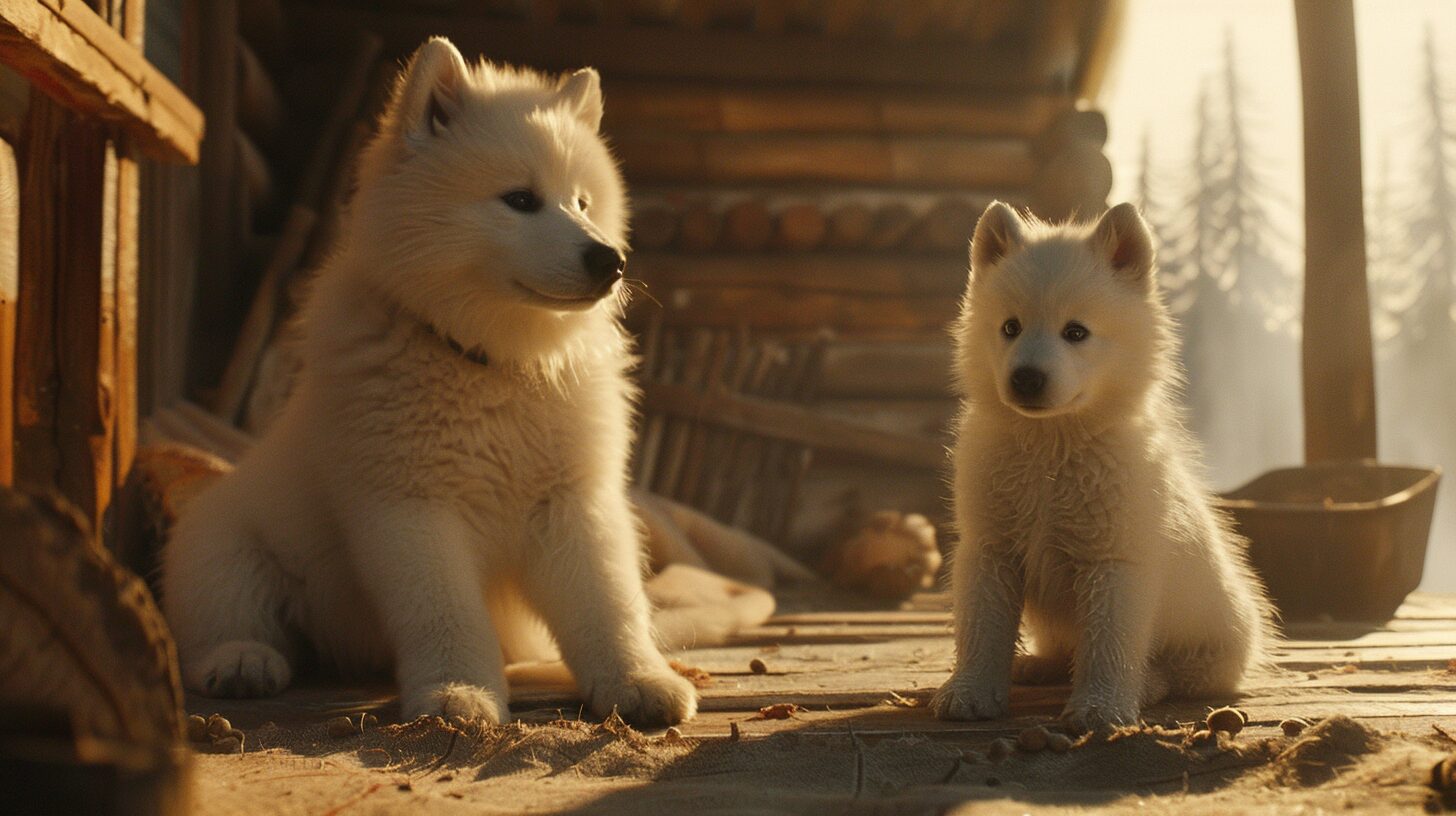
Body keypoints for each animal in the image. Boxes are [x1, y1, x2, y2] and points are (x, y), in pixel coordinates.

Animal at [162, 38, 695, 725]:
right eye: (519, 199)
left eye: (582, 203)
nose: (611, 260)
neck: (493, 363)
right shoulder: (411, 508)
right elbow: (444, 612)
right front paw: (455, 693)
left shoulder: (573, 502)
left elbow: (608, 605)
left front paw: (638, 681)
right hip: (223, 545)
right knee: (218, 621)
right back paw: (242, 661)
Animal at [931, 201, 1275, 728]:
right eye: (1010, 327)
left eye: (1076, 332)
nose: (1026, 378)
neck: (1051, 452)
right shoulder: (991, 549)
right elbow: (981, 630)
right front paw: (969, 691)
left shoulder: (1113, 563)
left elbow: (1108, 645)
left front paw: (1100, 707)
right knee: (1065, 648)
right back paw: (1039, 665)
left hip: (1212, 637)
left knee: (1177, 672)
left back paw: (1147, 685)